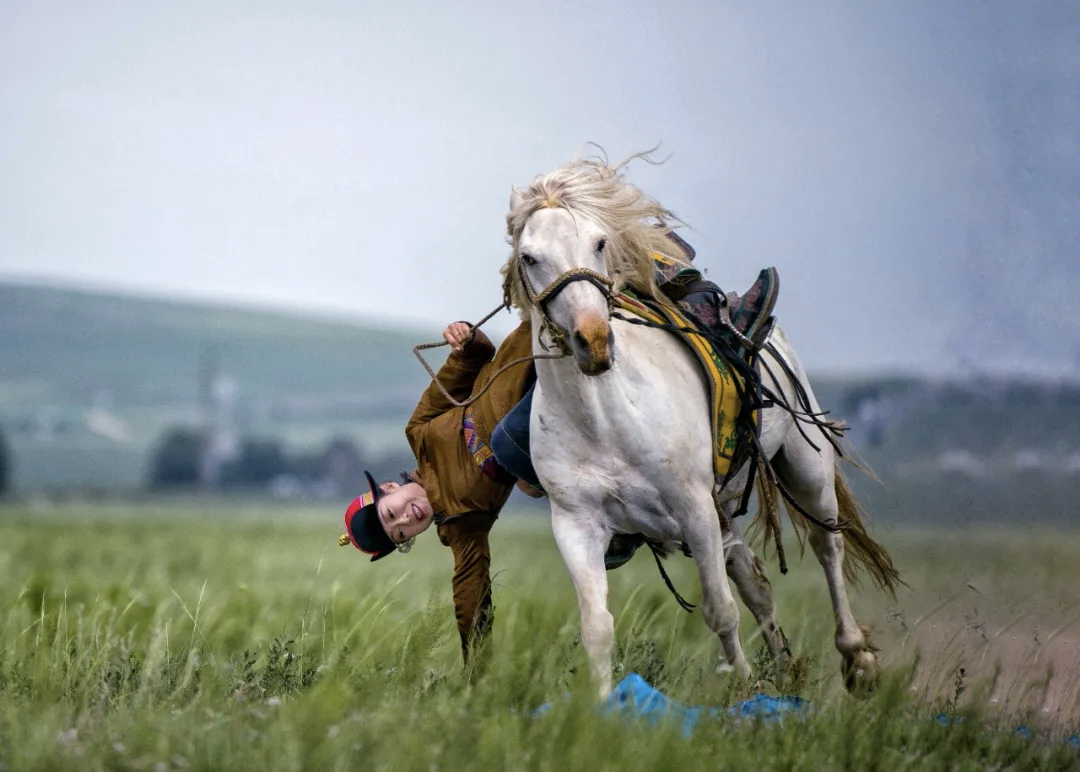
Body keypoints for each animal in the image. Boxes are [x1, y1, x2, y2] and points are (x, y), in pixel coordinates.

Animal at [500, 154, 900, 699]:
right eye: (530, 257)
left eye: (599, 243)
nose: (593, 340)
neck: (607, 418)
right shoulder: (578, 525)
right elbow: (597, 627)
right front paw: (599, 707)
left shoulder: (695, 510)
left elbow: (719, 610)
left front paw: (742, 691)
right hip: (726, 507)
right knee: (755, 581)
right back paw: (786, 671)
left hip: (805, 468)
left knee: (827, 547)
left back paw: (857, 660)